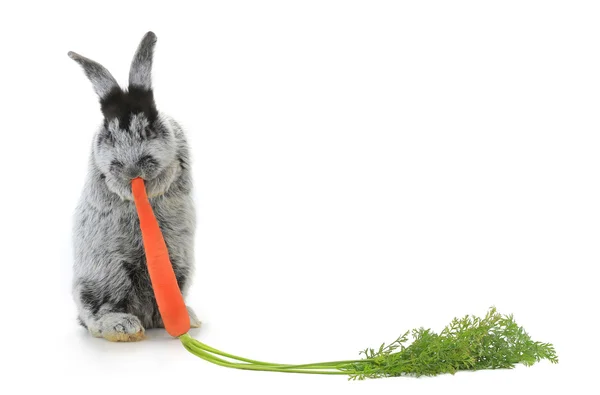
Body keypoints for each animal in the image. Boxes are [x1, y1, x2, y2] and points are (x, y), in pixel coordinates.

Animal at [67, 31, 199, 342]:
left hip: (179, 266)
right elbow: (112, 181)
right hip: (104, 275)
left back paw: (188, 319)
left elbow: (170, 170)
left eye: (149, 128)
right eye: (110, 133)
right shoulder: (102, 169)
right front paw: (131, 187)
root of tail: (144, 315)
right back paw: (123, 327)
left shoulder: (179, 155)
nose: (132, 169)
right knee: (96, 315)